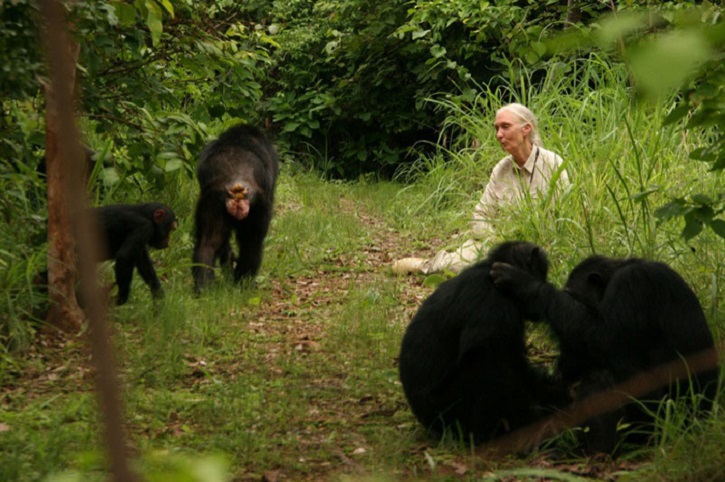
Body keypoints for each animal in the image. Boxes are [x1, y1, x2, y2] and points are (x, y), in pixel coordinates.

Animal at [191, 122, 278, 292]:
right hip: (257, 206)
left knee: (208, 242)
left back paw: (204, 287)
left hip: (211, 202)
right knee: (252, 242)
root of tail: (237, 183)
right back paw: (242, 282)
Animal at [396, 241, 572, 444]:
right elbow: (484, 356)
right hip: (449, 413)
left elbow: (517, 363)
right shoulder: (492, 305)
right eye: (542, 272)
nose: (547, 282)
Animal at [490, 256, 720, 452]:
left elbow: (602, 338)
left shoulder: (630, 284)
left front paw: (524, 285)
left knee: (603, 375)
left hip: (663, 417)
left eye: (572, 296)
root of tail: (701, 420)